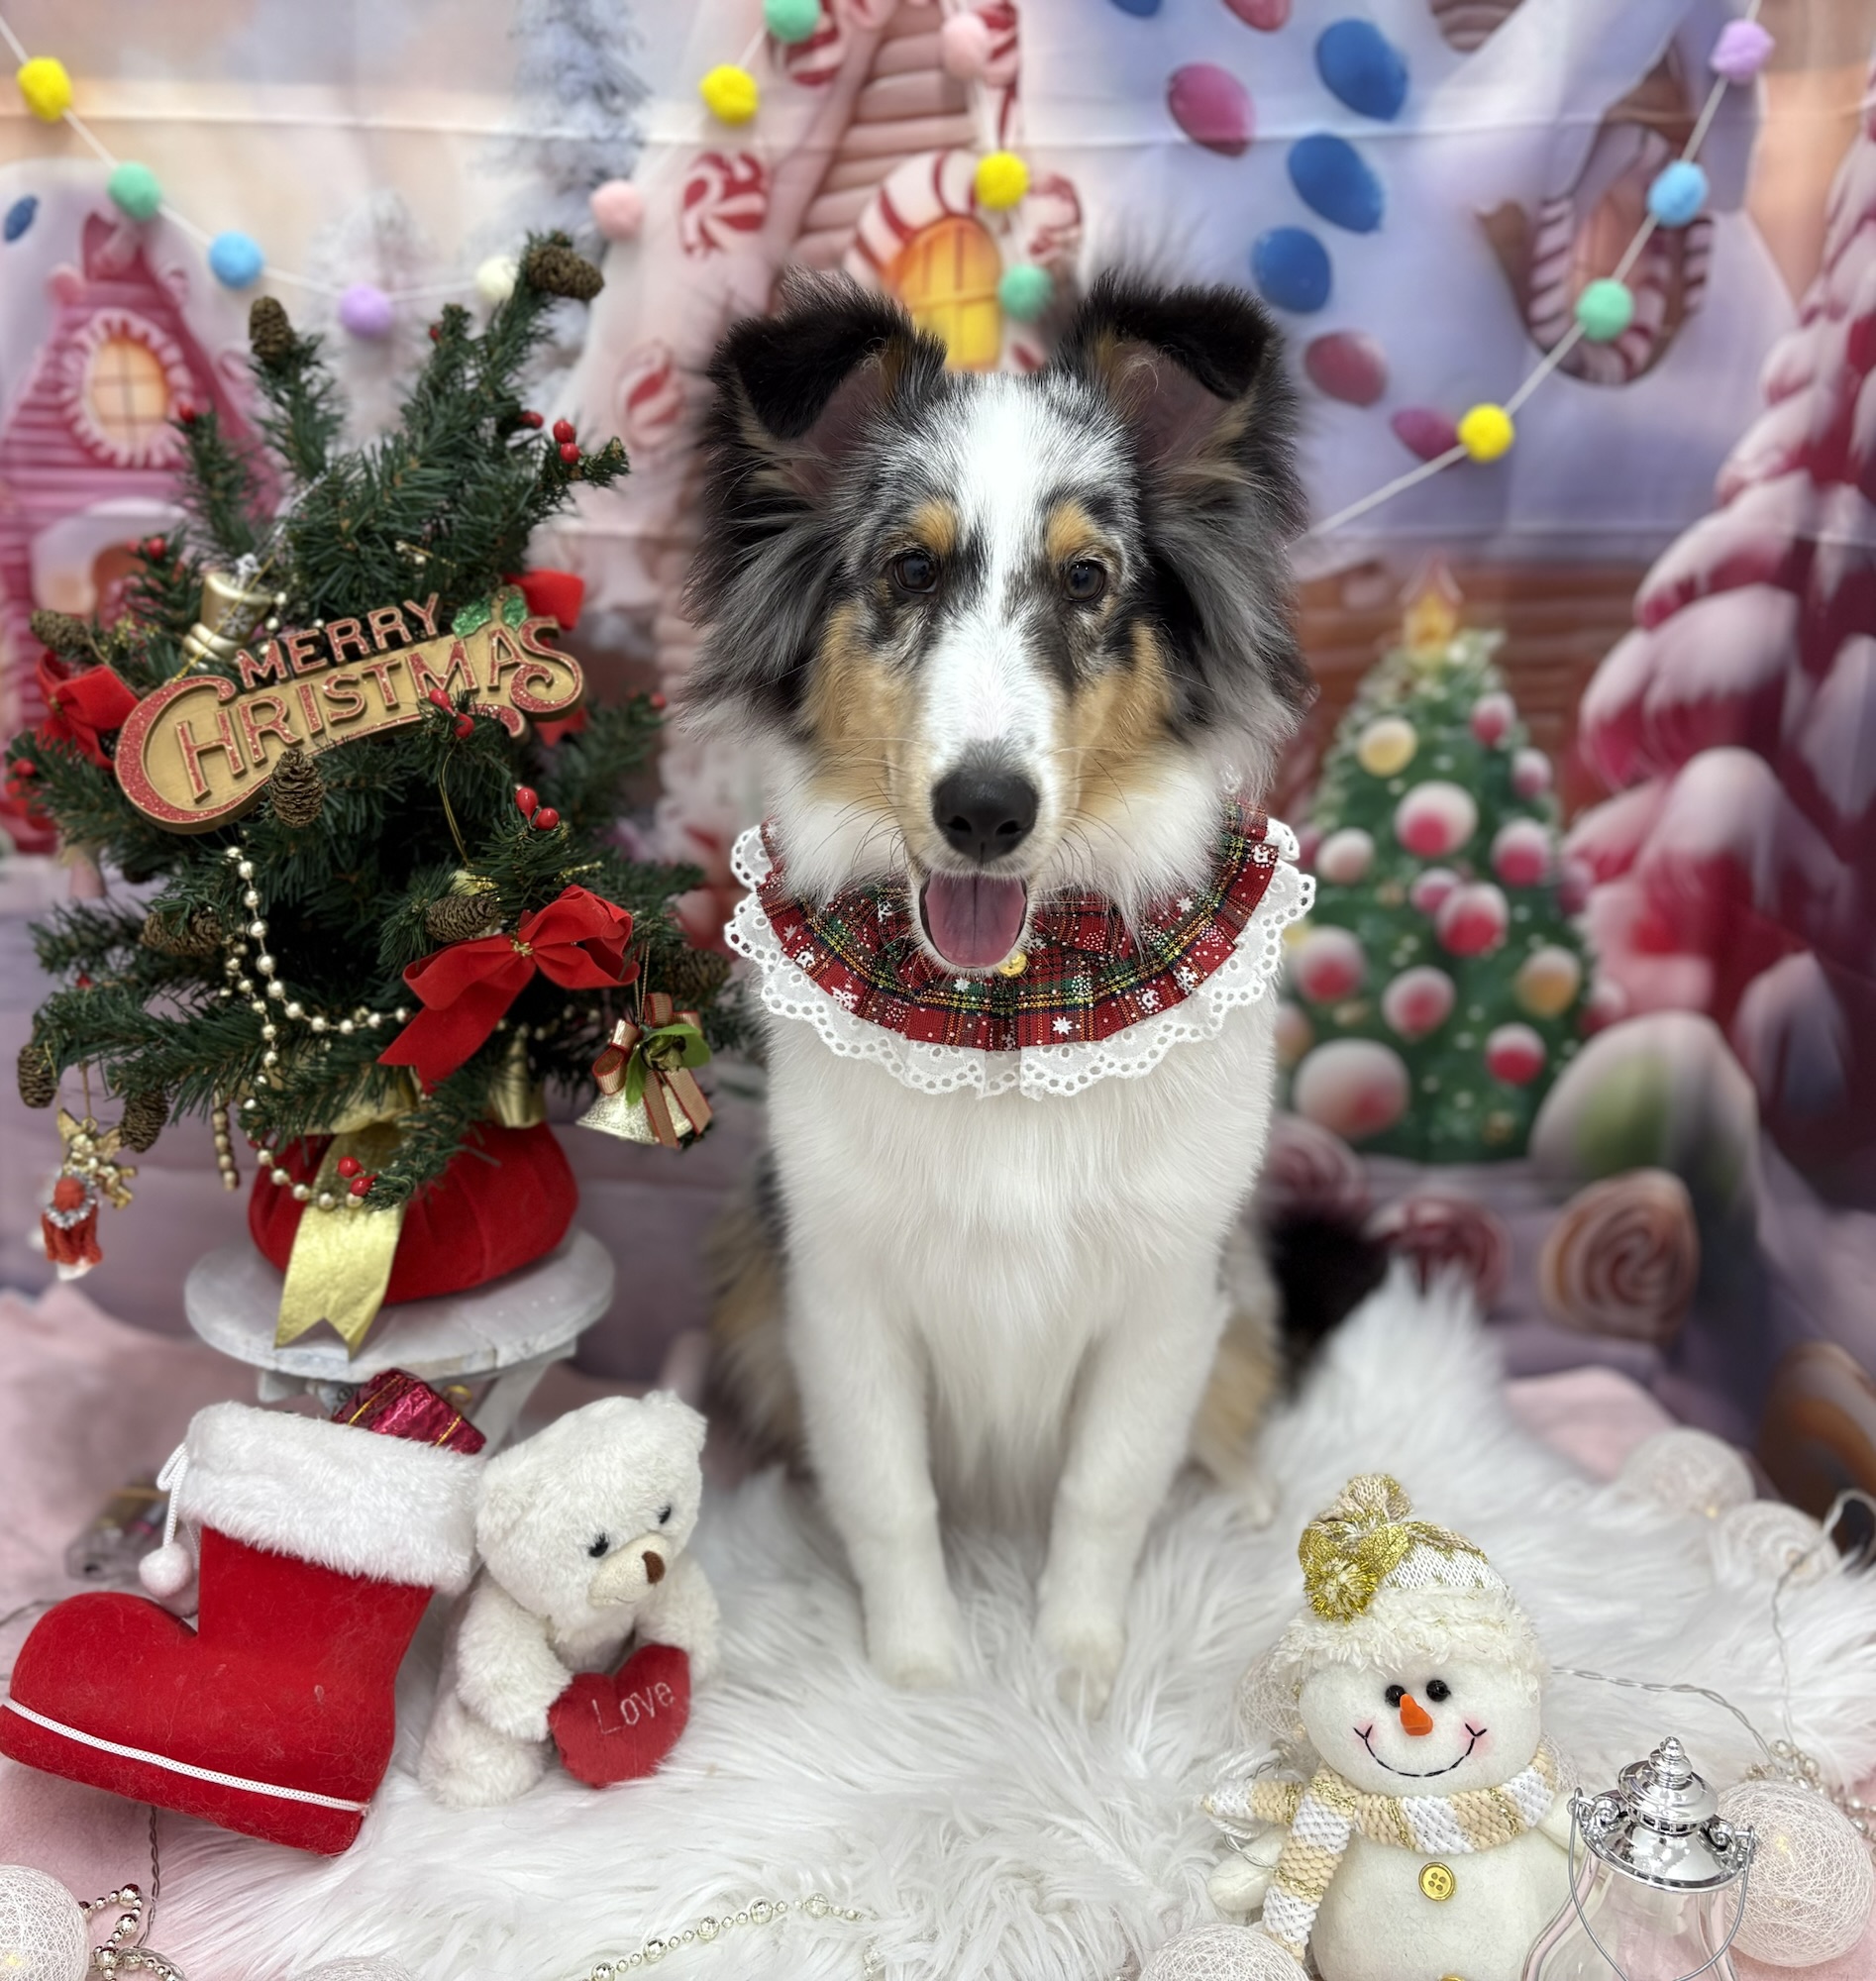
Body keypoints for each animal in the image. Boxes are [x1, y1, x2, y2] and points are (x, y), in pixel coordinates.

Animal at [687, 272, 1313, 1711]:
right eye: (906, 570)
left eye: (1088, 578)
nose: (982, 810)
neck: (1019, 1003)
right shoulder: (839, 1289)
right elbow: (889, 1496)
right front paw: (917, 1676)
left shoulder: (1166, 1291)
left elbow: (1105, 1490)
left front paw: (1076, 1670)